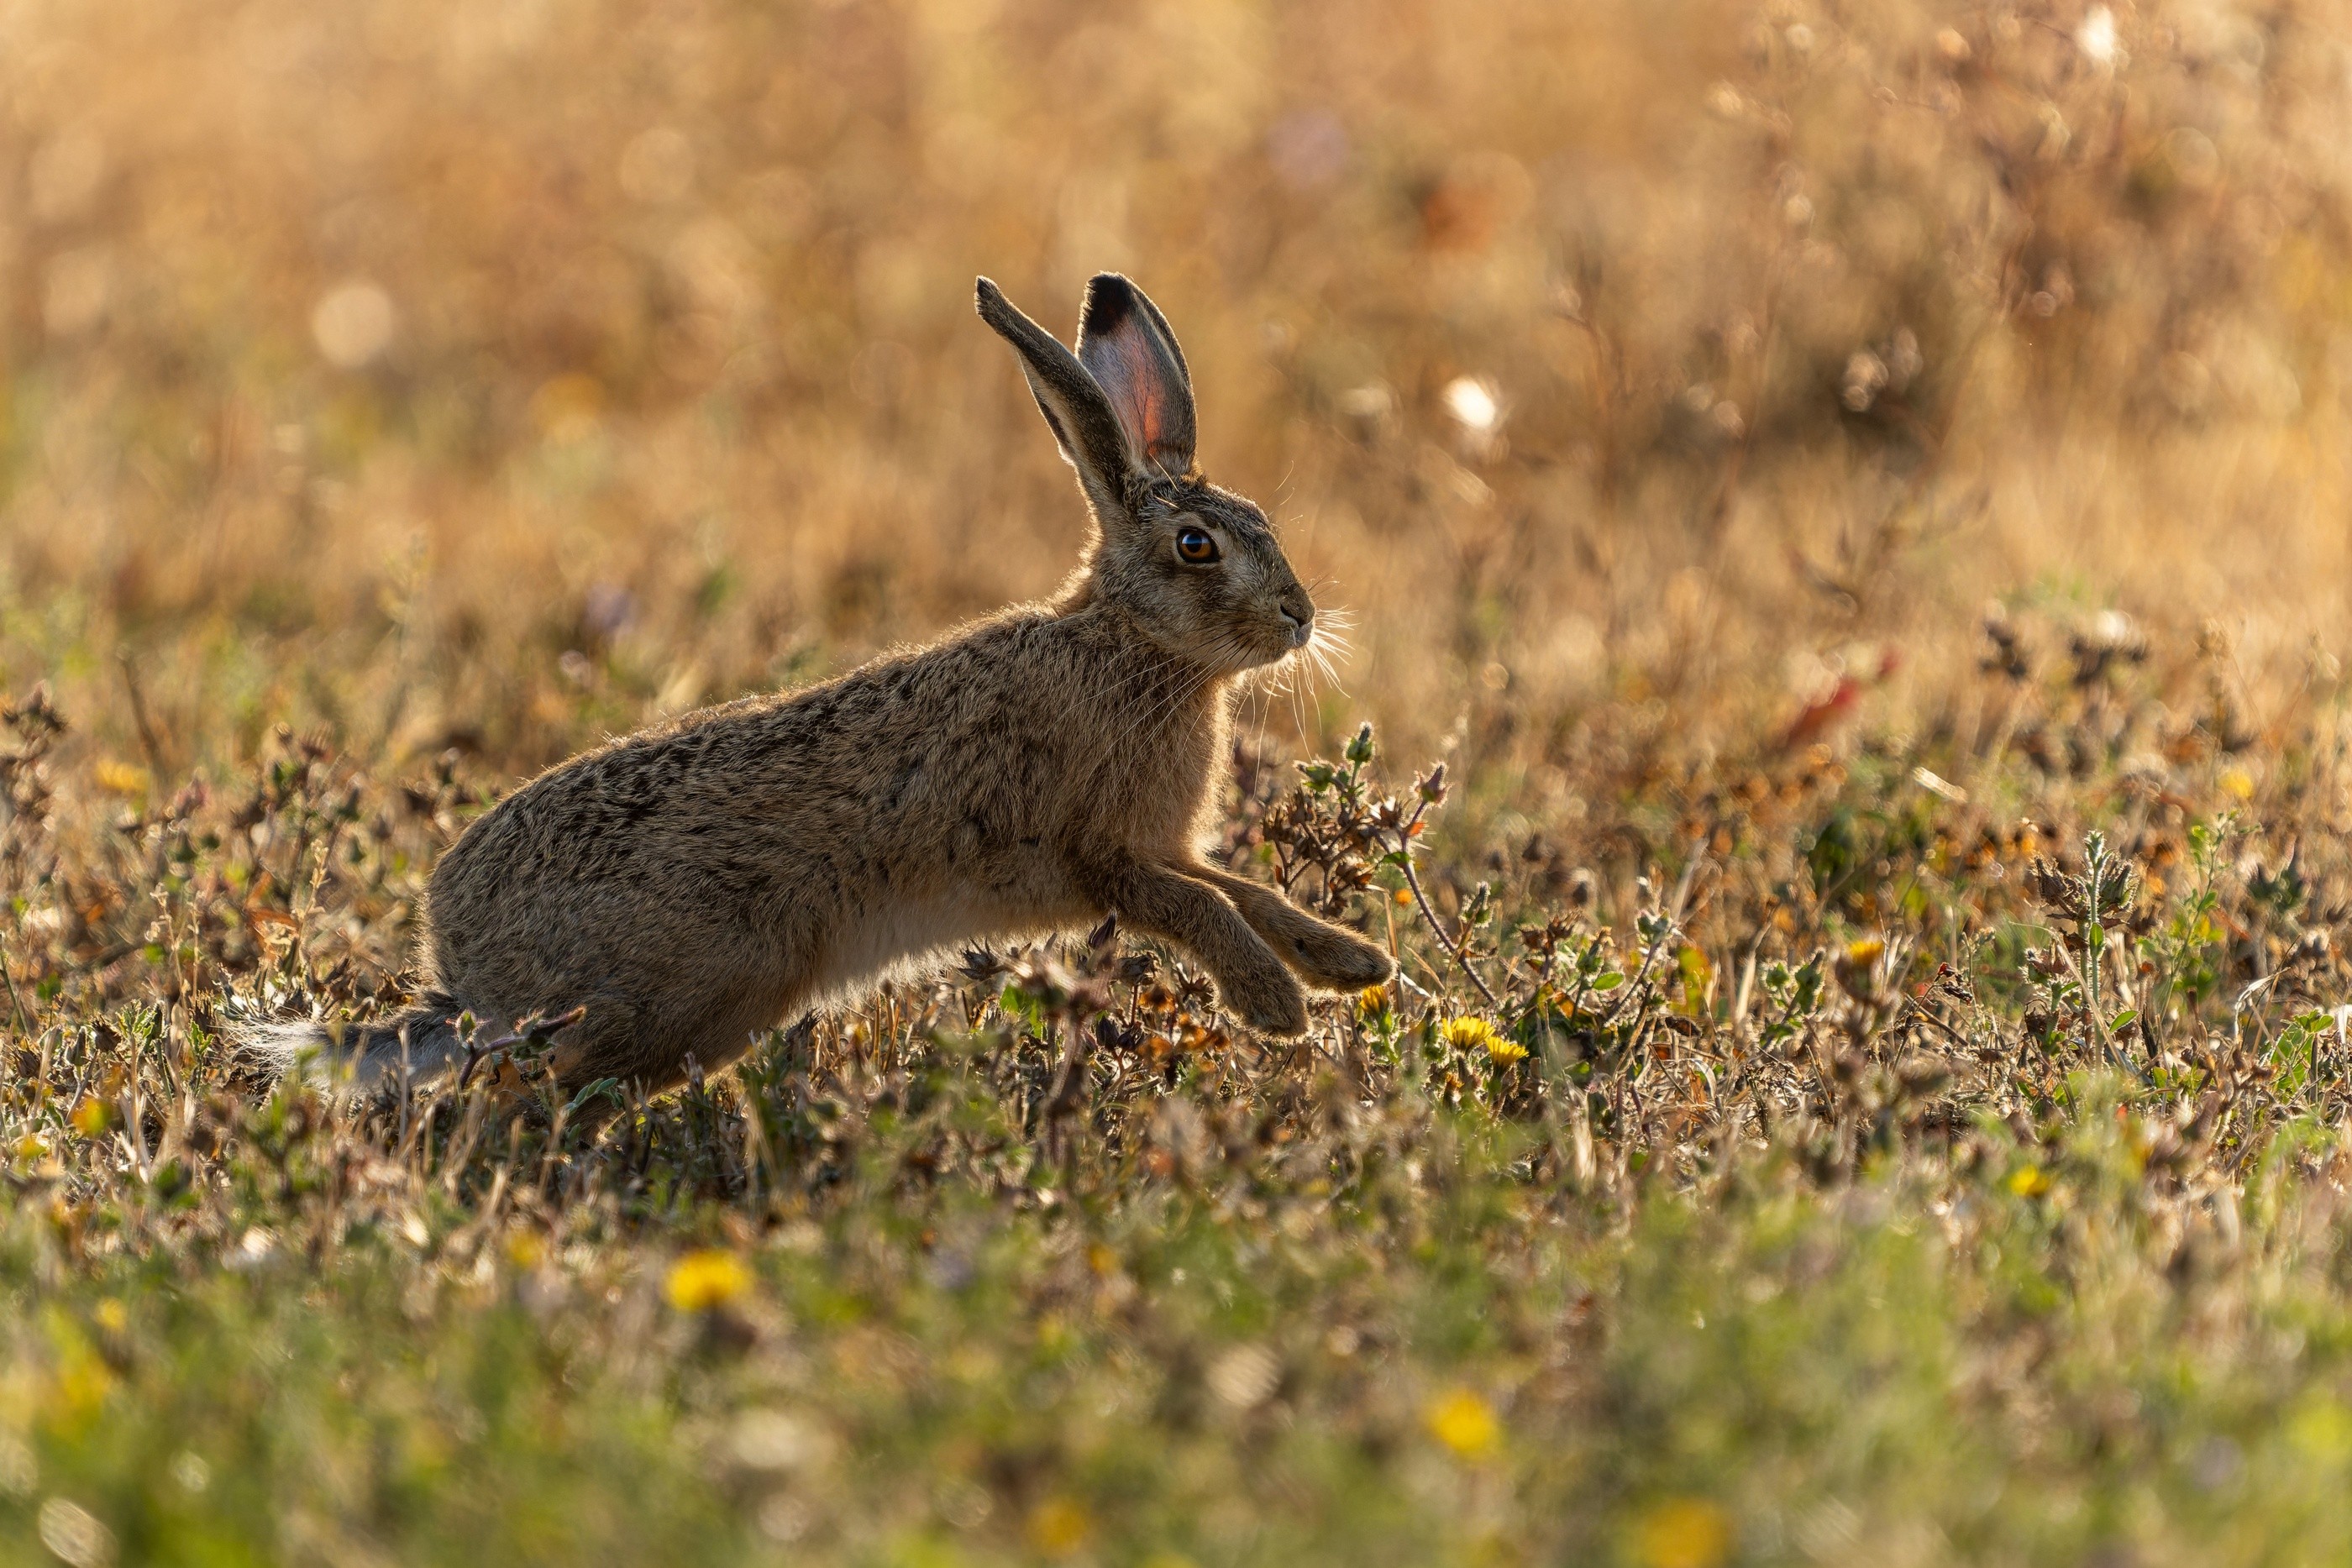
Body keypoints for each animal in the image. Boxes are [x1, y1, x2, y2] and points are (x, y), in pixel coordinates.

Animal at [247, 272, 1394, 1095]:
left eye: (1260, 521)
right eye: (1197, 545)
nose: (1298, 617)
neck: (1134, 647)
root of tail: (463, 968)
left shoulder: (1159, 844)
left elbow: (1243, 890)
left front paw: (1350, 963)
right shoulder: (1099, 855)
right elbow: (1199, 907)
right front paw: (1278, 1008)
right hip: (680, 998)